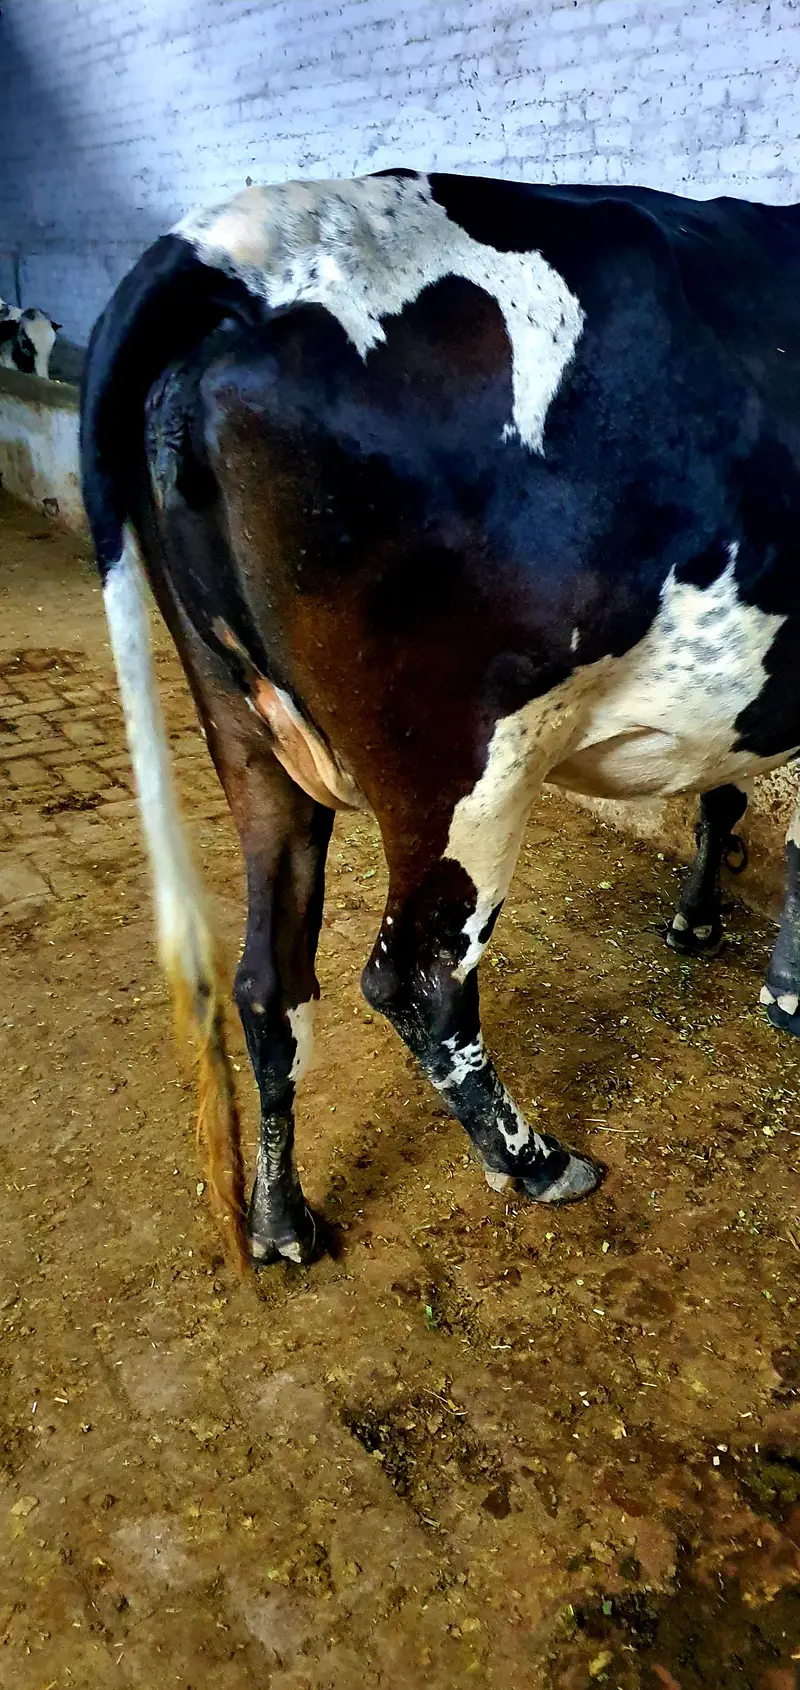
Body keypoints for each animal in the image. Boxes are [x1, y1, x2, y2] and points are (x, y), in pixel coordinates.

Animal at [79, 170, 800, 1273]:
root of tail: (242, 241)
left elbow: (723, 788)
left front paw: (702, 916)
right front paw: (784, 985)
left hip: (246, 737)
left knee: (267, 983)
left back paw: (281, 1220)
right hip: (465, 766)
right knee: (417, 979)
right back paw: (538, 1163)